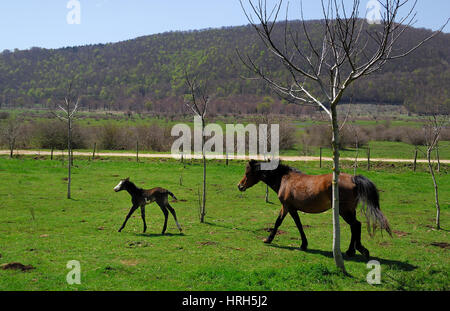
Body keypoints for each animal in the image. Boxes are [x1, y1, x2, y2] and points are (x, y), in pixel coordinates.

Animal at [239, 161, 390, 258]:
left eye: (248, 173)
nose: (239, 186)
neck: (285, 179)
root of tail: (353, 179)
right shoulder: (289, 208)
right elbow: (294, 224)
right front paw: (303, 244)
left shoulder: (288, 207)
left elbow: (284, 223)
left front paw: (269, 239)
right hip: (349, 211)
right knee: (355, 226)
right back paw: (352, 251)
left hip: (344, 211)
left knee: (356, 225)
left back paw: (357, 250)